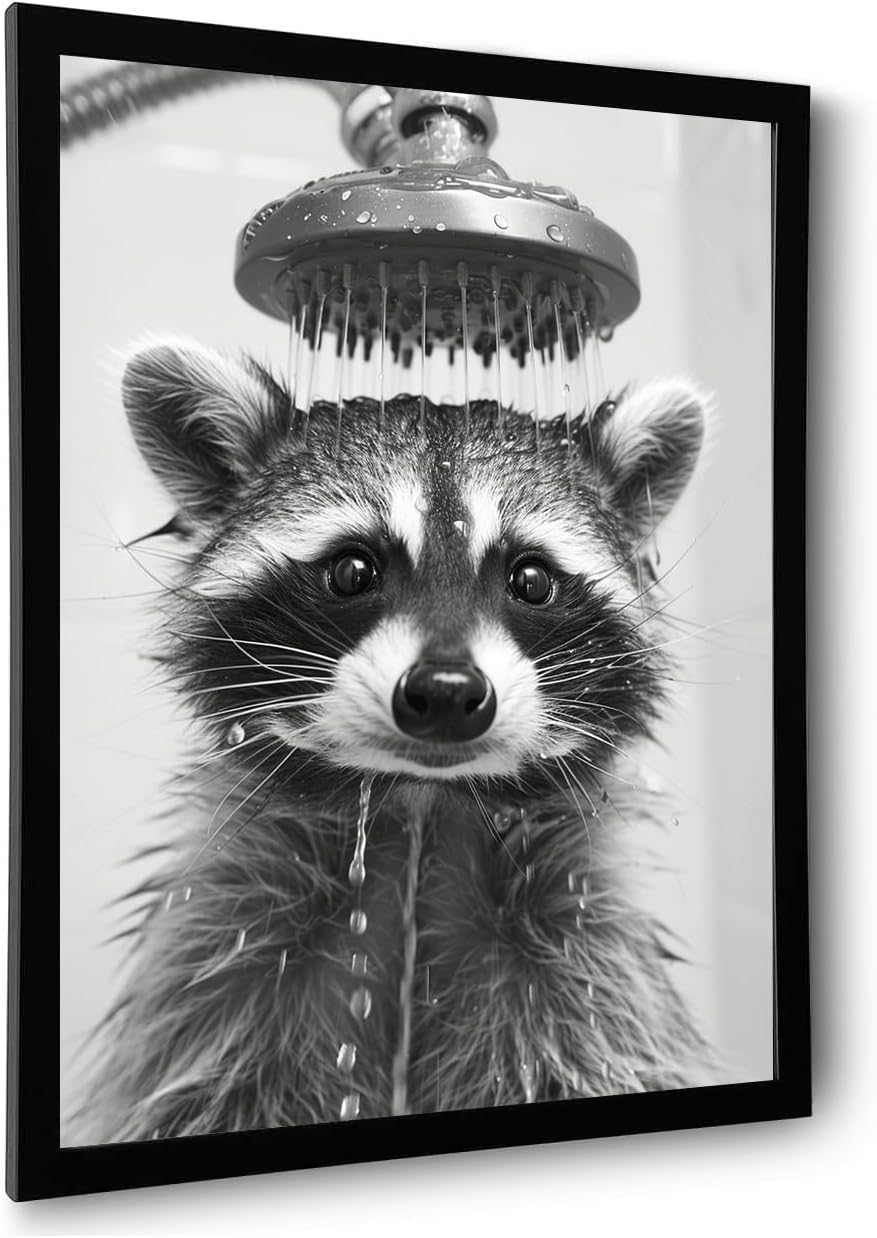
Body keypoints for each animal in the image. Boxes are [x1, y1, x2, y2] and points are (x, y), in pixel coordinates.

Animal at [75, 341, 715, 1141]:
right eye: (353, 569)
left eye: (530, 578)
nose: (445, 694)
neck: (421, 806)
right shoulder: (224, 961)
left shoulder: (584, 968)